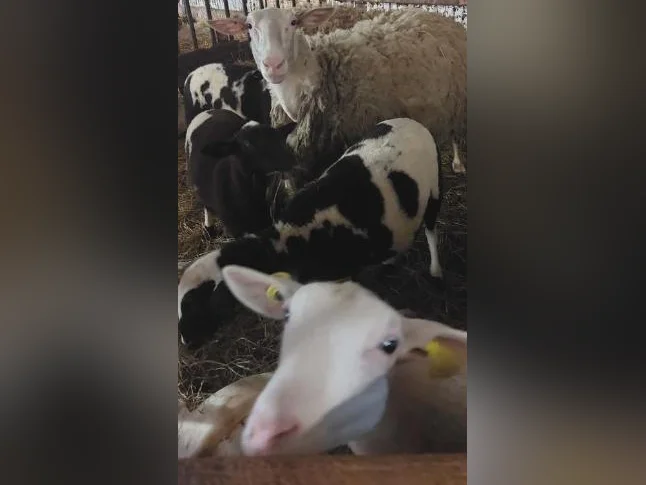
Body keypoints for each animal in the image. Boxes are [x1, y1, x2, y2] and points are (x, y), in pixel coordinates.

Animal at [184, 108, 297, 238]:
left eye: (278, 138)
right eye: (247, 144)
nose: (291, 160)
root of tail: (212, 110)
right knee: (207, 207)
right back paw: (209, 230)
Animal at [208, 7, 467, 185]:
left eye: (293, 22)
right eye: (249, 27)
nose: (273, 64)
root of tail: (433, 14)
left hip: (459, 101)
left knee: (456, 134)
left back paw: (458, 163)